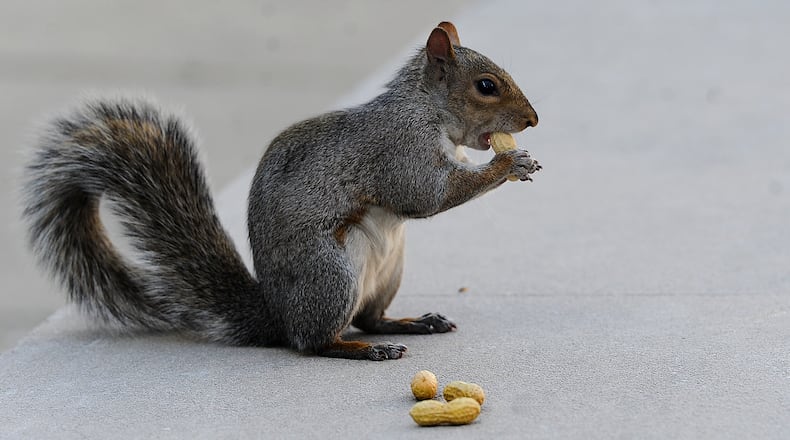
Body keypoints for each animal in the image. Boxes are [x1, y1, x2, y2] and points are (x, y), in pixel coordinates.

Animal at [21, 22, 539, 360]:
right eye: (486, 86)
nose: (533, 120)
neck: (426, 110)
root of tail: (278, 314)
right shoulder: (398, 148)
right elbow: (423, 196)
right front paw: (508, 163)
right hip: (330, 273)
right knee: (313, 342)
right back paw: (364, 350)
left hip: (388, 269)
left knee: (368, 317)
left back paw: (410, 323)